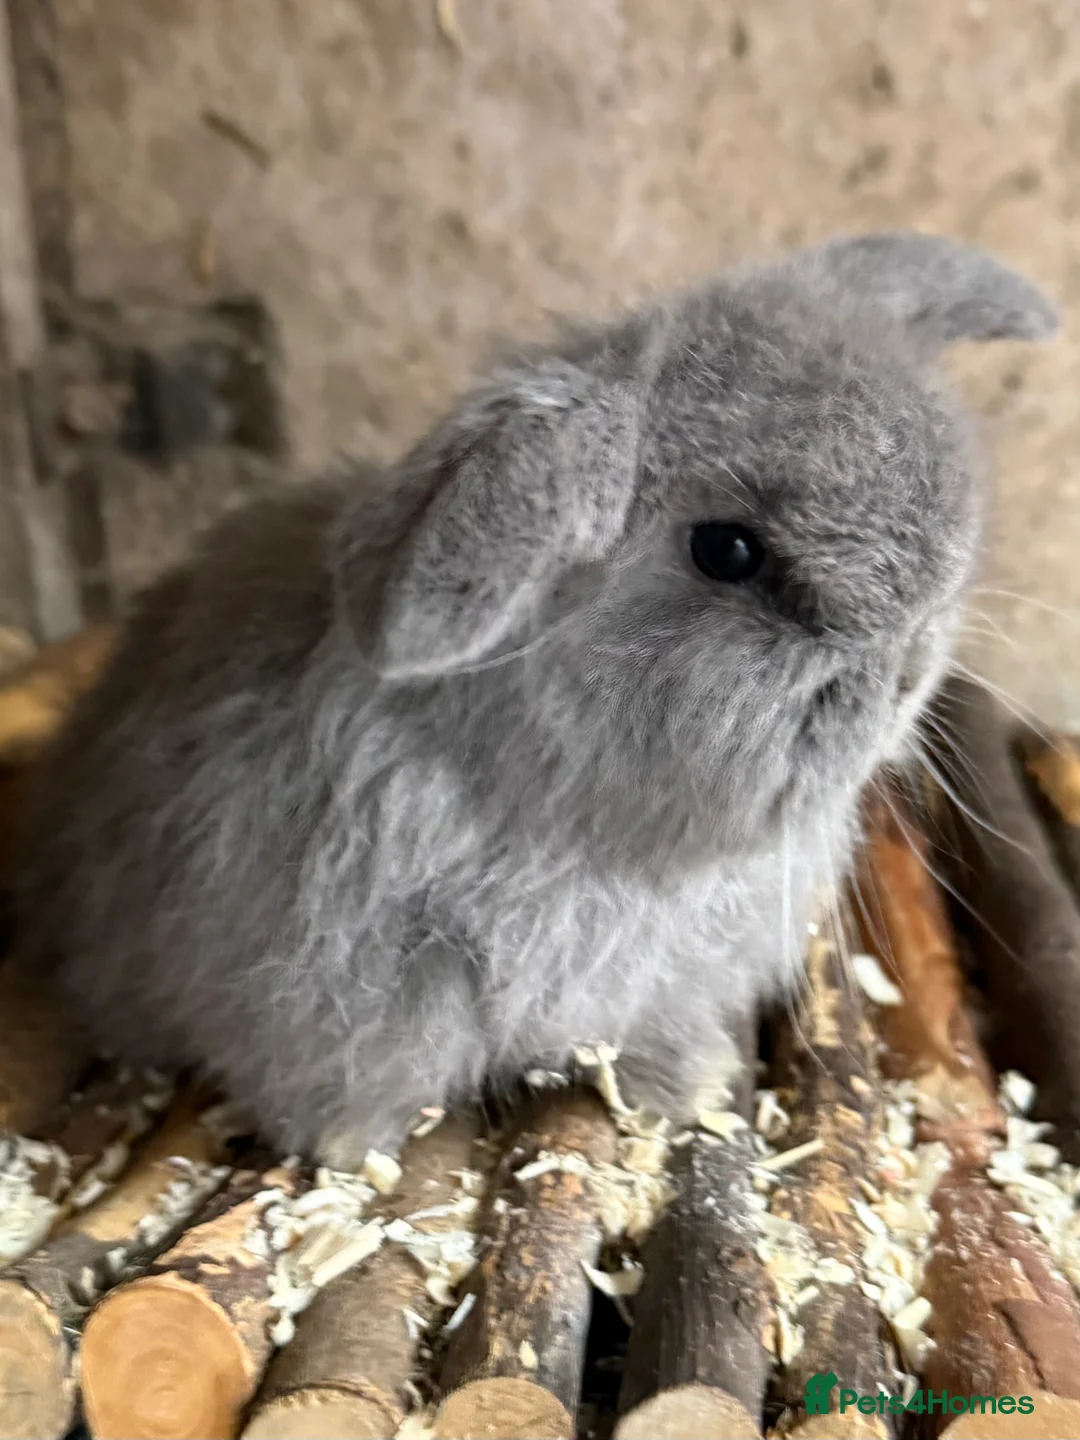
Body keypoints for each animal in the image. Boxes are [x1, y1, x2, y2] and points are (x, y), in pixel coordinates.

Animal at [14, 232, 1058, 1166]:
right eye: (726, 550)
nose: (911, 663)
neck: (579, 817)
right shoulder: (323, 1007)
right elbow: (341, 1092)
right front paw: (354, 1153)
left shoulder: (662, 994)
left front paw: (690, 1094)